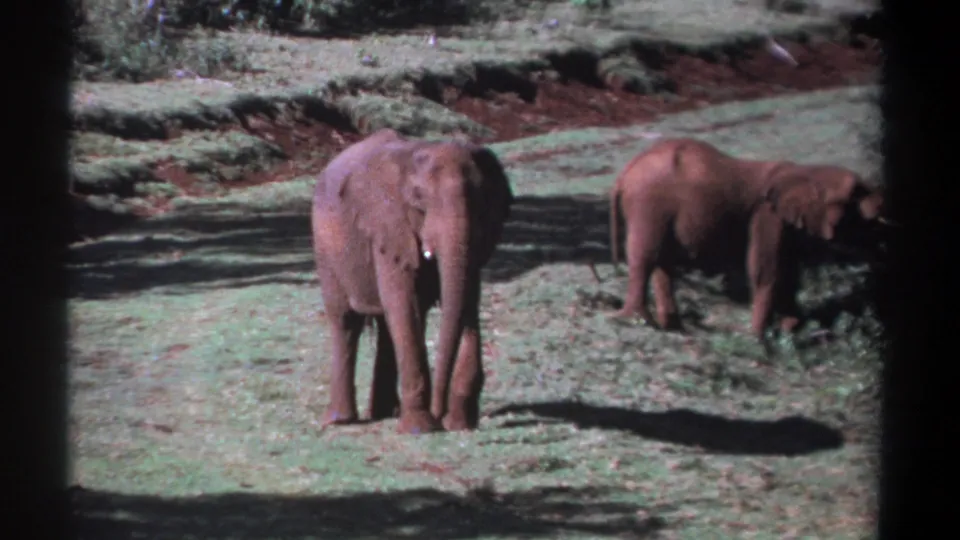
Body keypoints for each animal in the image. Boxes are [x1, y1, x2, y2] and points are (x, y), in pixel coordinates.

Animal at [311, 128, 514, 434]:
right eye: (419, 200)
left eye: (482, 199)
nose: (440, 413)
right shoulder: (388, 227)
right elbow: (404, 304)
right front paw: (421, 429)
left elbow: (467, 301)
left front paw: (460, 424)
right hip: (326, 249)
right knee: (346, 321)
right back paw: (340, 420)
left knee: (385, 326)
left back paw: (385, 412)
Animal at [607, 137, 887, 343]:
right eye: (855, 195)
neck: (805, 172)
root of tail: (624, 173)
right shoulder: (767, 215)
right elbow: (767, 270)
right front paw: (757, 338)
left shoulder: (787, 225)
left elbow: (790, 271)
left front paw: (791, 331)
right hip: (648, 204)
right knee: (645, 258)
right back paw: (637, 321)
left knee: (662, 263)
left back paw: (674, 329)